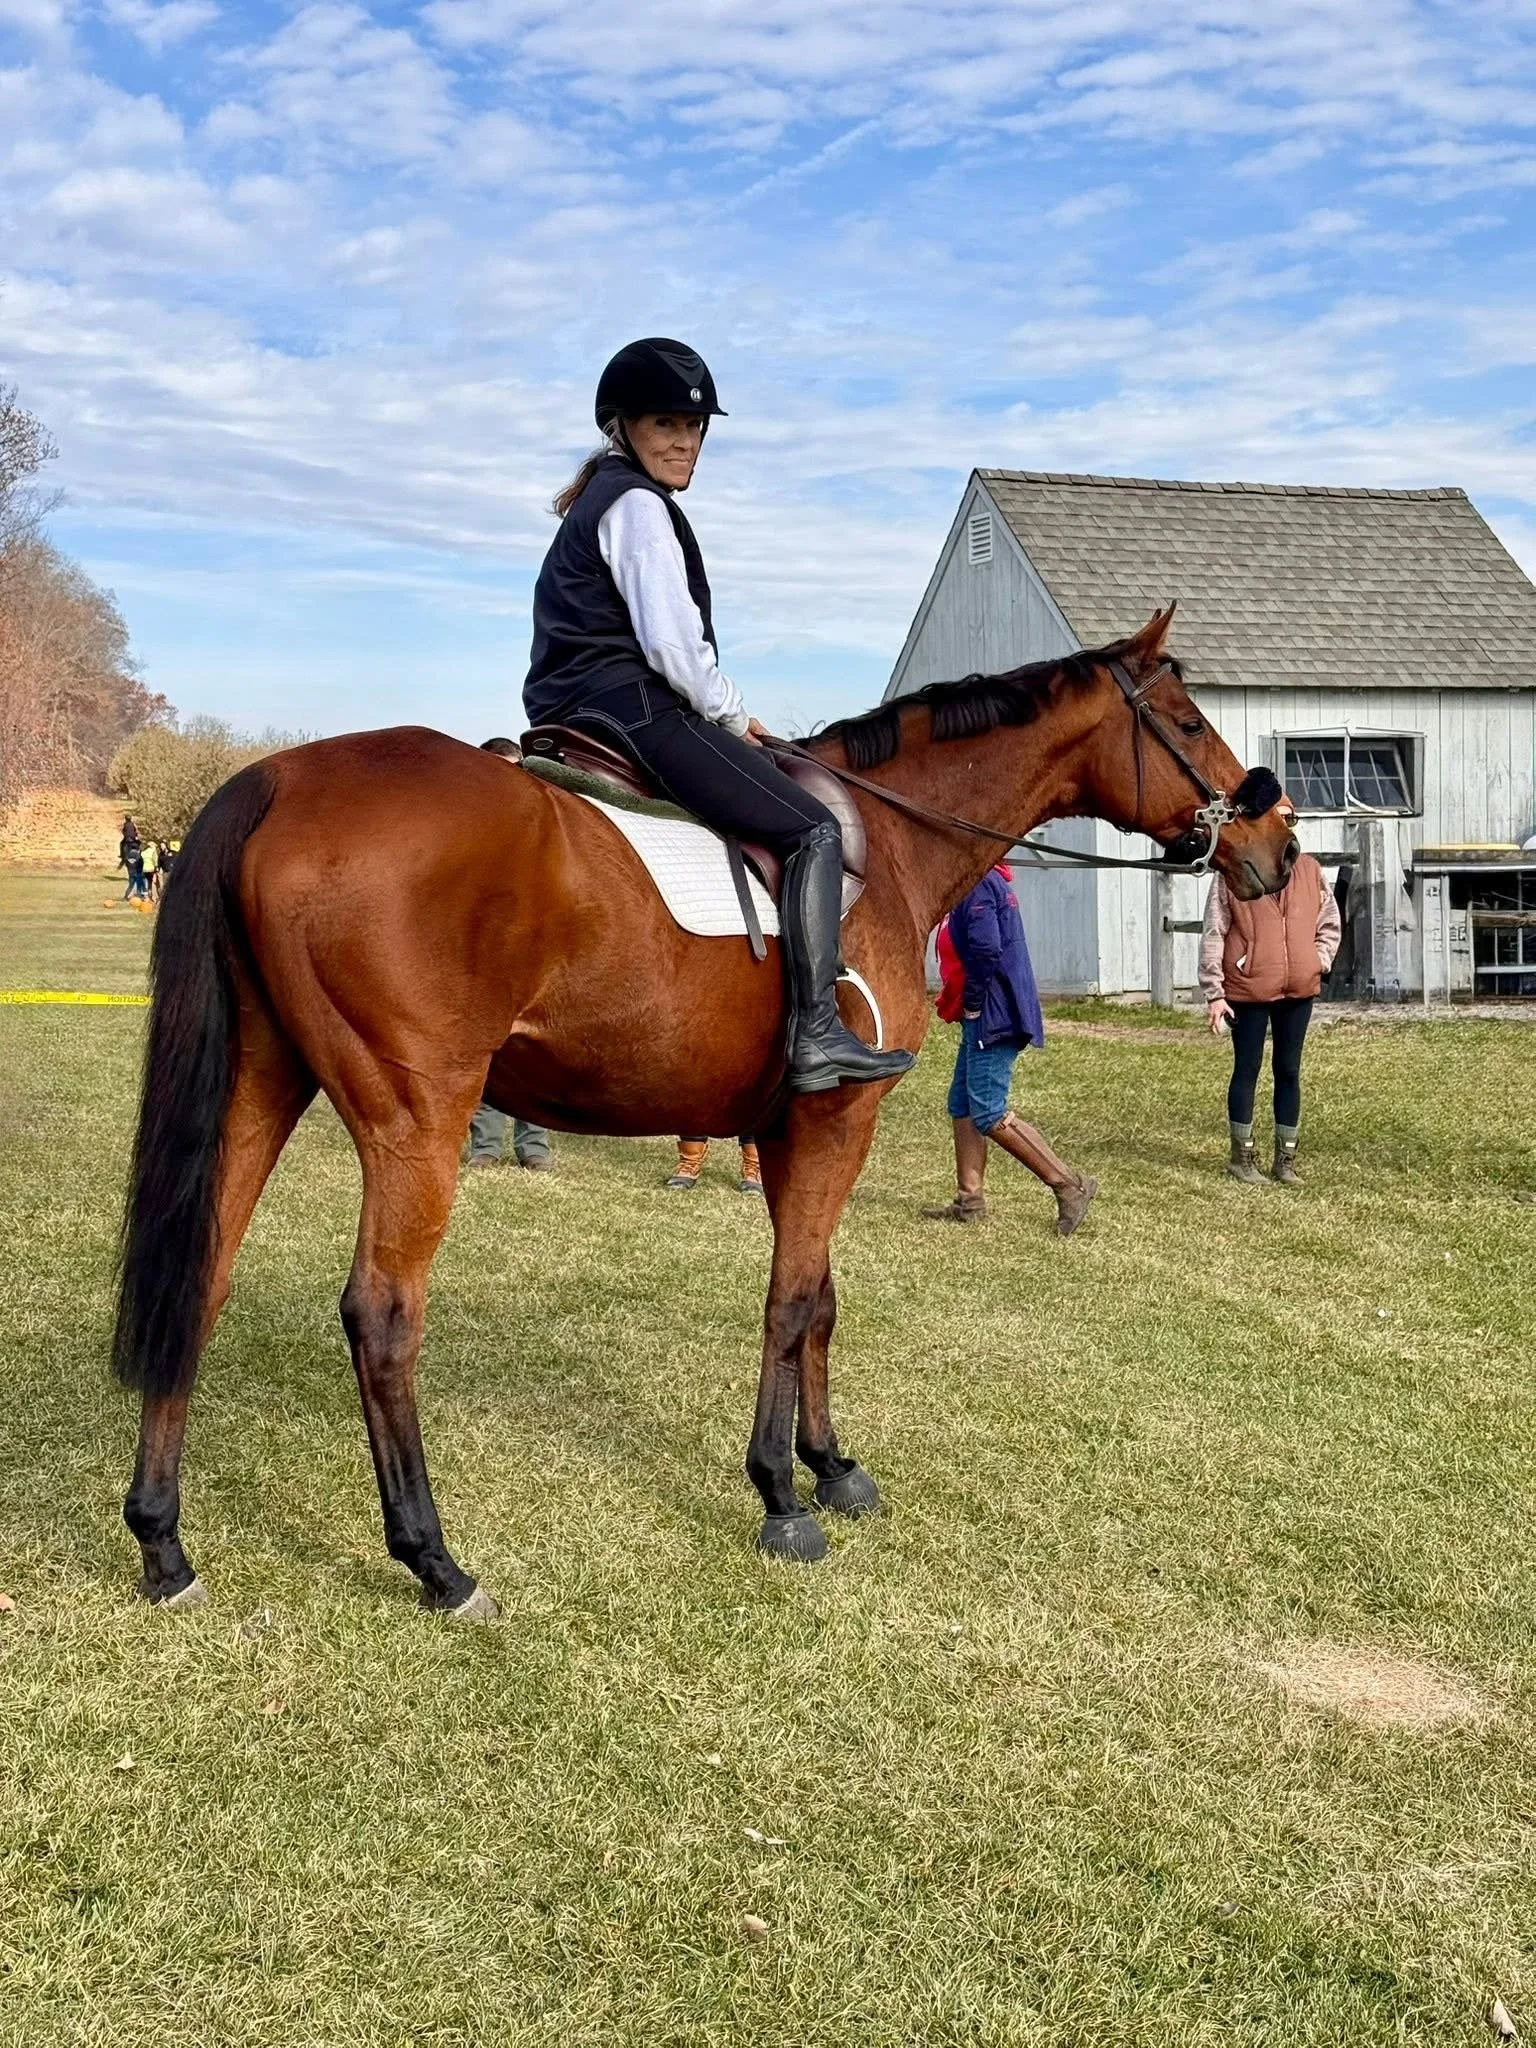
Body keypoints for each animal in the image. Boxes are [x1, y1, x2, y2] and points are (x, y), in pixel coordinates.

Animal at [111, 606, 1296, 1615]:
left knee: (200, 1280)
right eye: (1190, 719)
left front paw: (833, 1466)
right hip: (417, 1120)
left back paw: (164, 1544)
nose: (1278, 849)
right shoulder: (838, 1122)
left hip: (264, 1086)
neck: (885, 843)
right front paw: (781, 1495)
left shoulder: (792, 1129)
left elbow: (820, 1299)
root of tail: (277, 779)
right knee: (382, 1316)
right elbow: (789, 1301)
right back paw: (436, 1561)